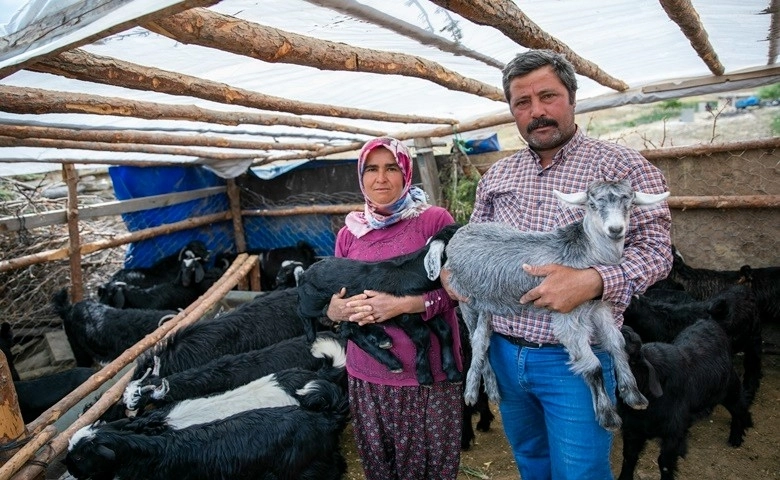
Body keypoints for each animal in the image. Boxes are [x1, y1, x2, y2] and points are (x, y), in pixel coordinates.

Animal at [296, 223, 460, 384]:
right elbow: (423, 336)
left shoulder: (424, 309)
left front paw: (452, 372)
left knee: (350, 329)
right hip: (313, 300)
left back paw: (384, 343)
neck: (417, 270)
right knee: (303, 311)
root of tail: (306, 273)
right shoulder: (405, 315)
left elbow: (445, 331)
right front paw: (424, 376)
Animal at [620, 318, 752, 480]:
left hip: (731, 389)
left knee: (740, 409)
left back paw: (736, 438)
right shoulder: (632, 429)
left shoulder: (673, 434)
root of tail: (709, 322)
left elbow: (664, 463)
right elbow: (629, 457)